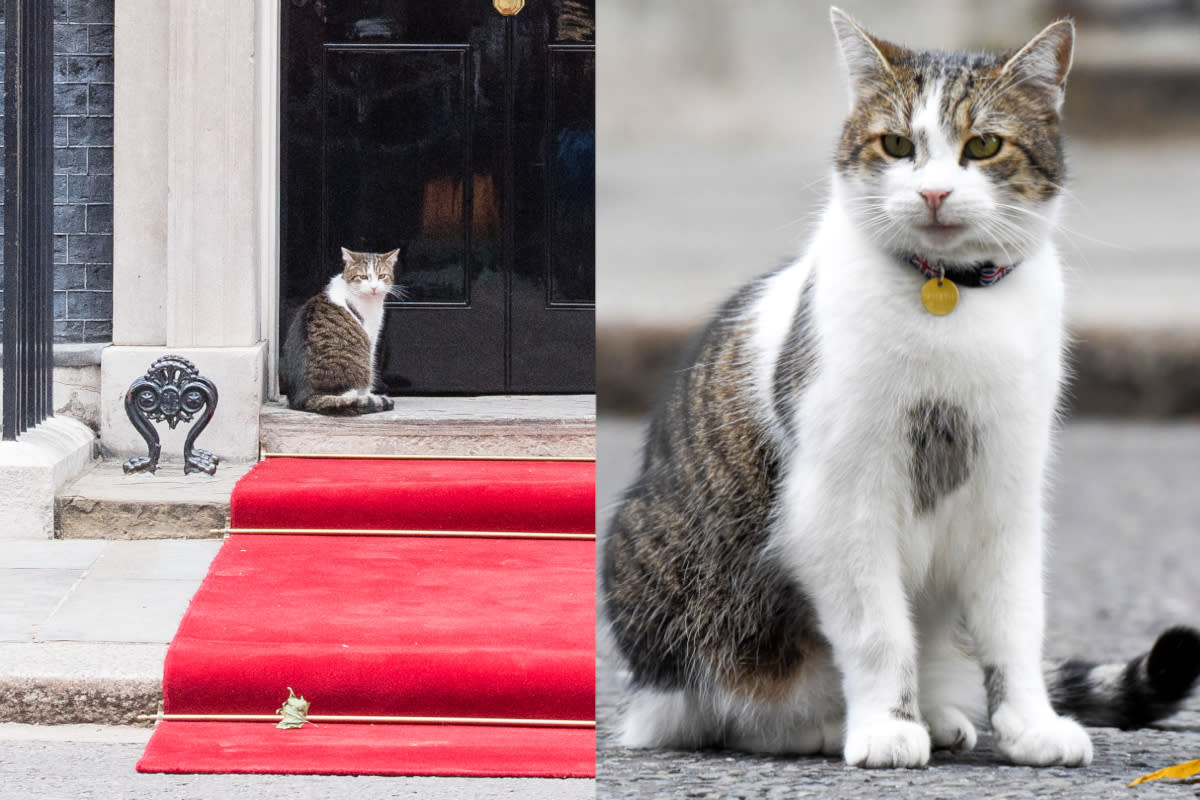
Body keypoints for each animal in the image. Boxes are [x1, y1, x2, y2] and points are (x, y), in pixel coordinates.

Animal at [279, 247, 398, 417]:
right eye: (363, 277)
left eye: (381, 276)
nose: (374, 287)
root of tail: (305, 397)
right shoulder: (371, 338)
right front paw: (369, 395)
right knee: (348, 396)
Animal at [604, 6, 1195, 767]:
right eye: (895, 144)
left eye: (983, 145)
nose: (934, 192)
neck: (951, 299)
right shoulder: (839, 502)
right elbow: (878, 632)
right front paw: (885, 726)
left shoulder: (1008, 491)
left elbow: (1014, 625)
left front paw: (1029, 724)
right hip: (680, 583)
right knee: (719, 708)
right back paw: (824, 726)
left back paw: (941, 714)